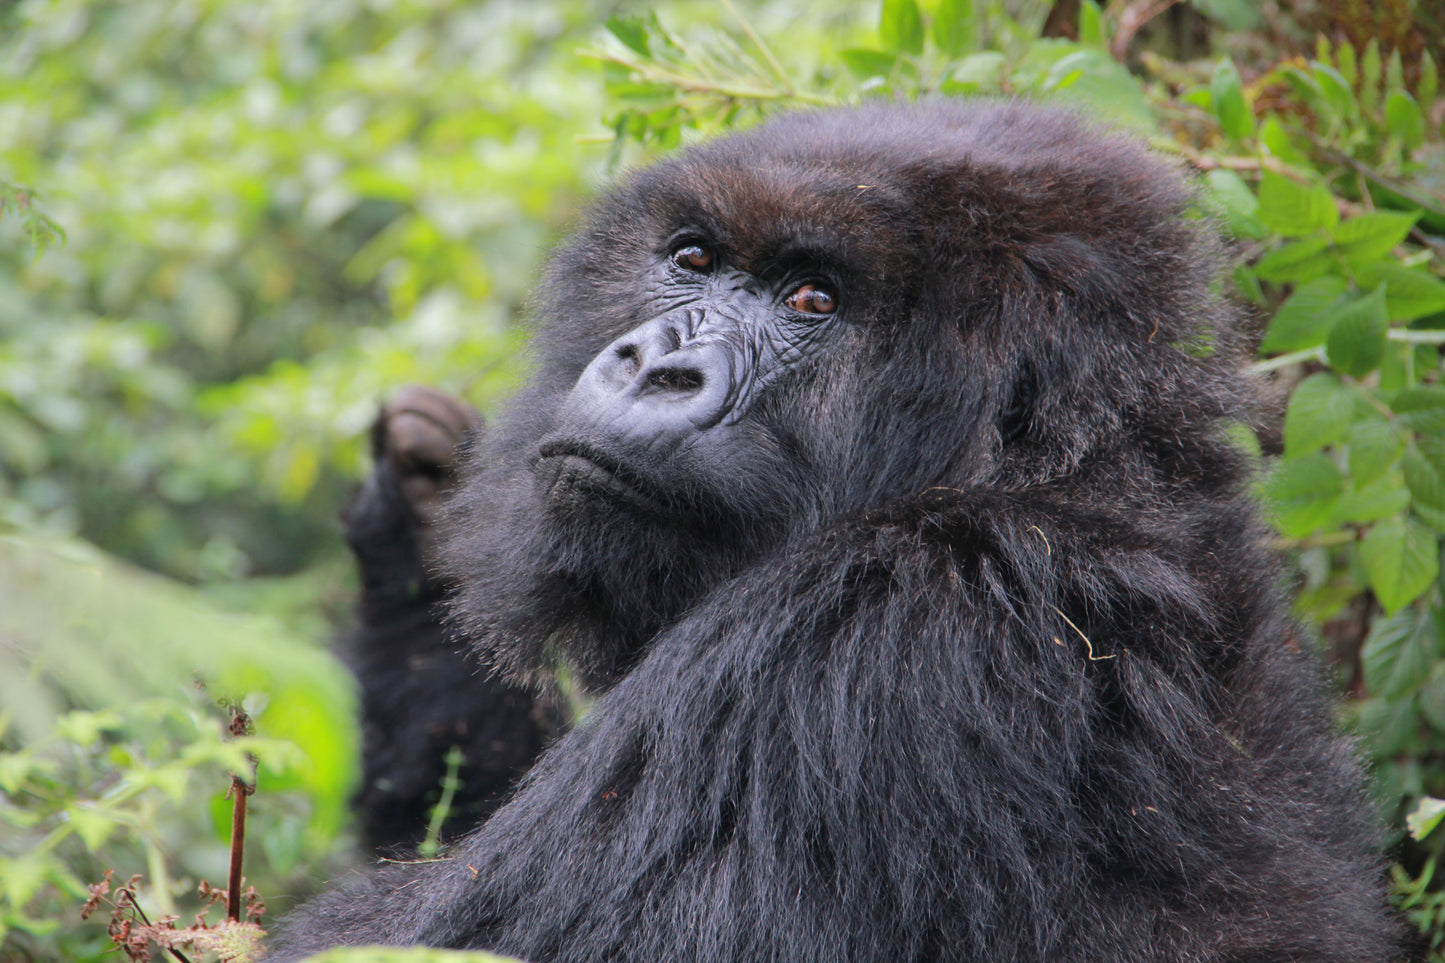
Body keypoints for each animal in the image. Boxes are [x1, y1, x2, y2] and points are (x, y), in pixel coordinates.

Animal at [275, 101, 1404, 954]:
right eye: (692, 258)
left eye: (812, 298)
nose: (653, 365)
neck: (1066, 469)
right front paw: (413, 536)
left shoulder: (884, 619)